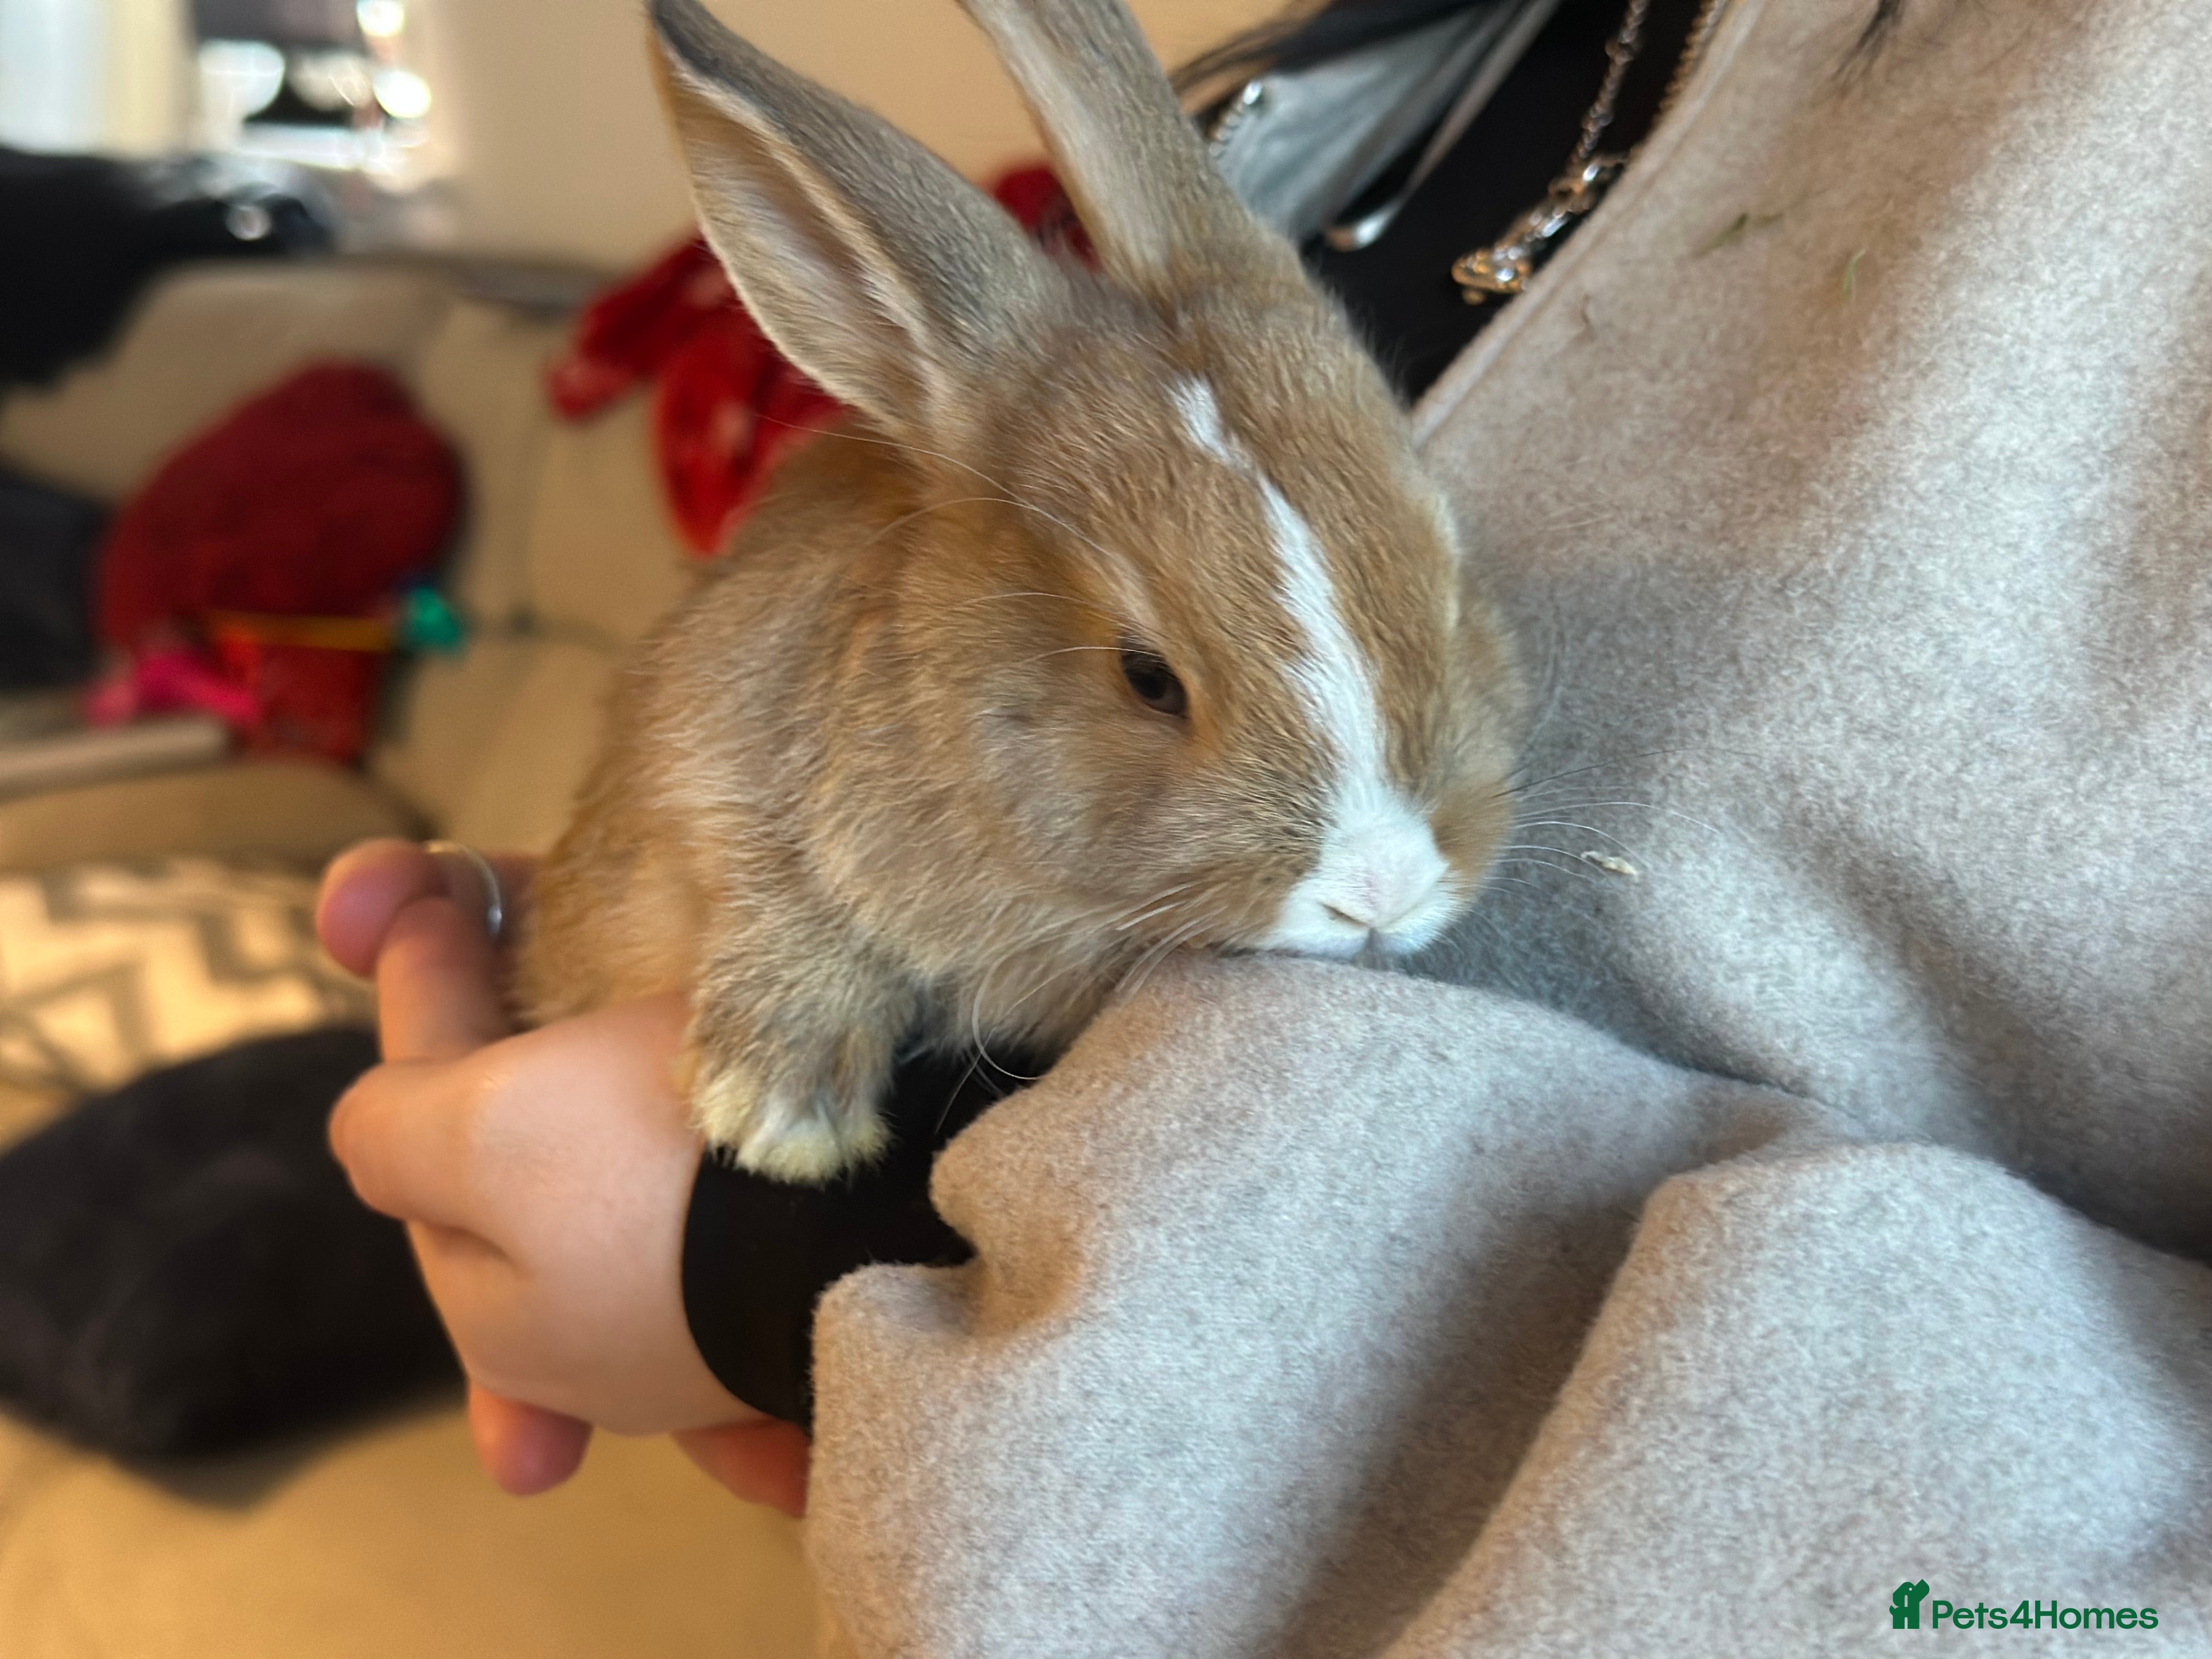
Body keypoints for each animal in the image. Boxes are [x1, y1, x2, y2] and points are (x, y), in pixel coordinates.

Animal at [513, 0, 1526, 1184]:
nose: (1382, 886)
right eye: (1146, 678)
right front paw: (778, 1109)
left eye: (1450, 581)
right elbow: (778, 890)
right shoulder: (703, 763)